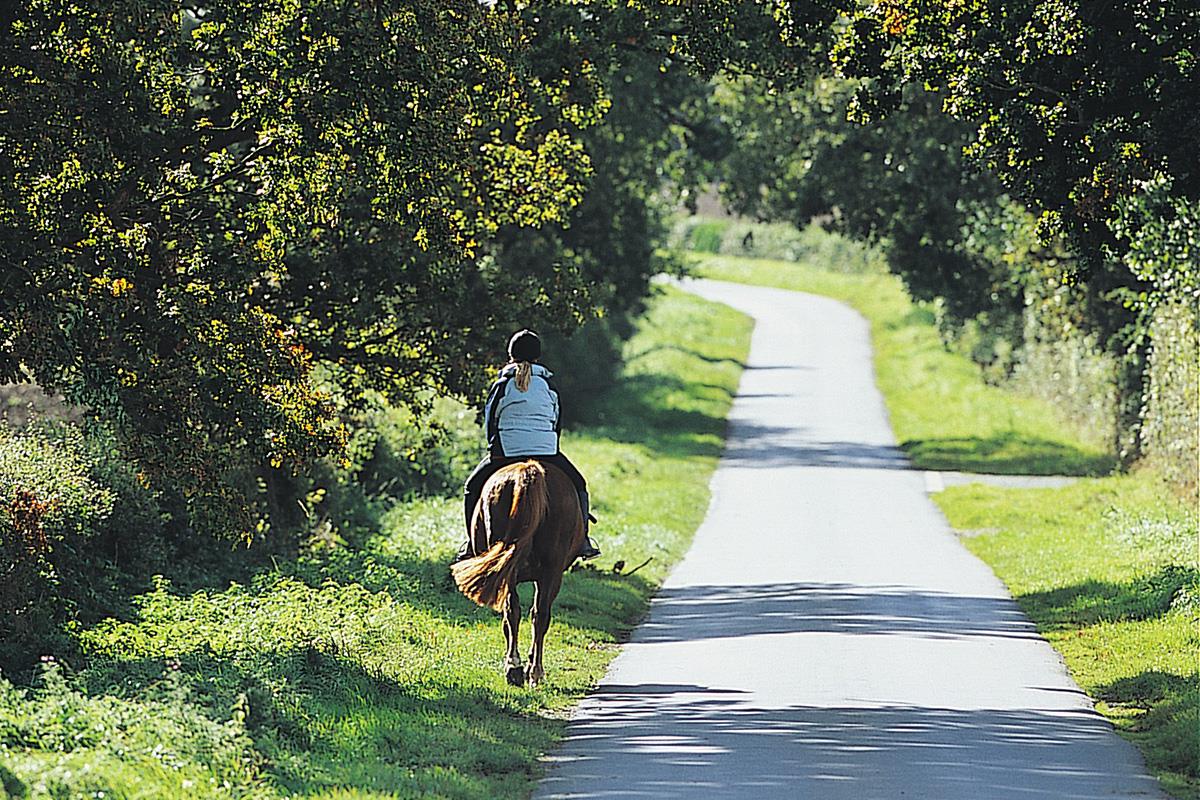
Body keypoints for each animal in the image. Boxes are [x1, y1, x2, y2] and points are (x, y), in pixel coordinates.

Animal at [450, 460, 585, 687]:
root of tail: (526, 470)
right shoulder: (550, 576)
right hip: (551, 572)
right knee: (537, 616)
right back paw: (534, 671)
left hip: (513, 571)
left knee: (513, 612)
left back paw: (514, 668)